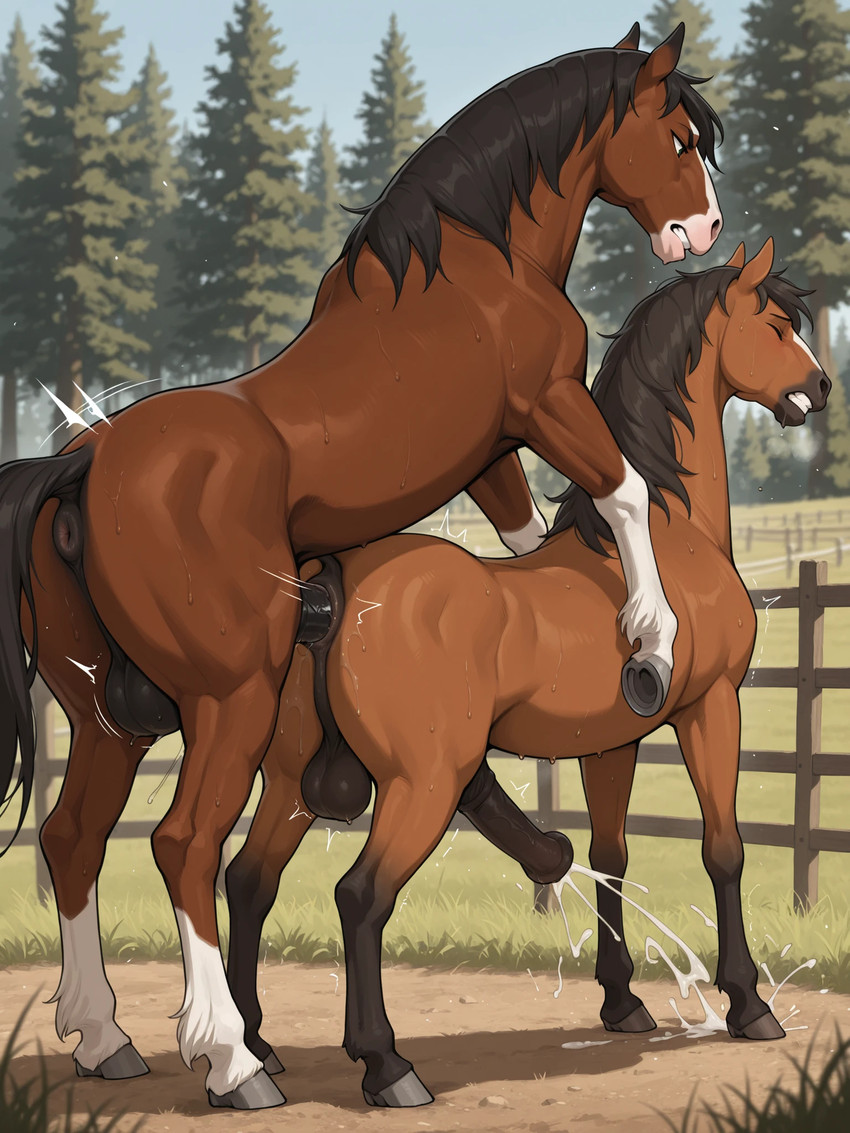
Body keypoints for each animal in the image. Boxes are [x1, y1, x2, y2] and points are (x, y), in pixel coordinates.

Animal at [0, 23, 724, 1110]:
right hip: (232, 691)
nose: (702, 229)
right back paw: (232, 1057)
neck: (472, 264)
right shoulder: (547, 404)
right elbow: (626, 490)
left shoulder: (495, 454)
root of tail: (85, 460)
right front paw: (649, 635)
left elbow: (528, 541)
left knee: (73, 837)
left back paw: (105, 1037)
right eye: (678, 138)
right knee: (184, 844)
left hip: (104, 715)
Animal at [221, 239, 830, 1107]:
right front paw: (750, 1003)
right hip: (424, 782)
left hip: (289, 780)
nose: (821, 389)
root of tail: (333, 582)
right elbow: (725, 848)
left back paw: (251, 1051)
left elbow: (613, 856)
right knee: (360, 897)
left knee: (248, 880)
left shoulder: (614, 742)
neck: (668, 538)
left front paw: (623, 1000)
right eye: (776, 325)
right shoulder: (713, 708)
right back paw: (387, 1065)